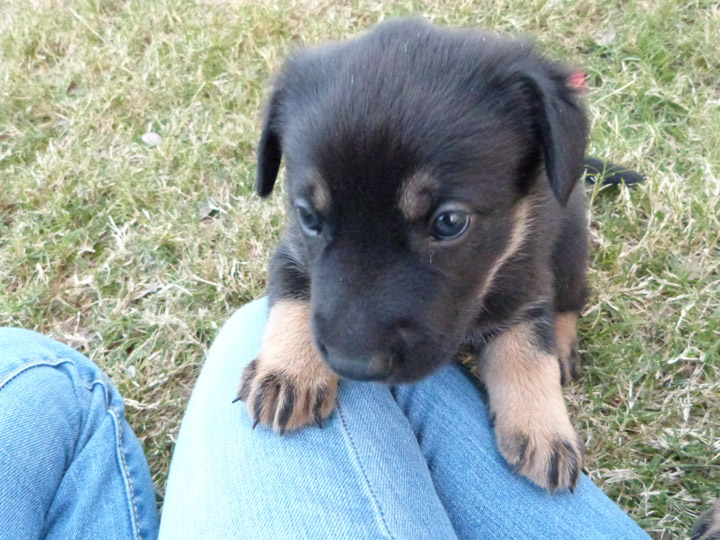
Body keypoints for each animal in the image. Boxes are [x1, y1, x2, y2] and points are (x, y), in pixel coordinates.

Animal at [236, 19, 640, 494]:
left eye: (449, 222)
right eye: (308, 216)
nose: (353, 364)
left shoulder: (527, 279)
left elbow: (527, 347)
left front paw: (542, 426)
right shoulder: (291, 252)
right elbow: (294, 296)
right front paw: (289, 373)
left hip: (571, 247)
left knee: (571, 303)